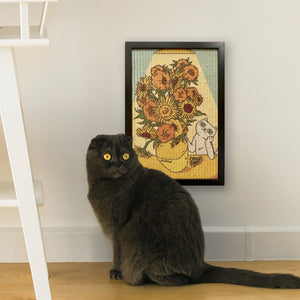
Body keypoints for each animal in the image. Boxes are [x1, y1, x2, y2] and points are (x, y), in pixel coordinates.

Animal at [85, 134, 300, 288]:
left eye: (126, 155)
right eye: (107, 156)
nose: (118, 164)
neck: (105, 187)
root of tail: (201, 266)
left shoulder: (117, 227)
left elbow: (117, 251)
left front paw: (116, 271)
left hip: (146, 248)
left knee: (181, 279)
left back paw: (147, 277)